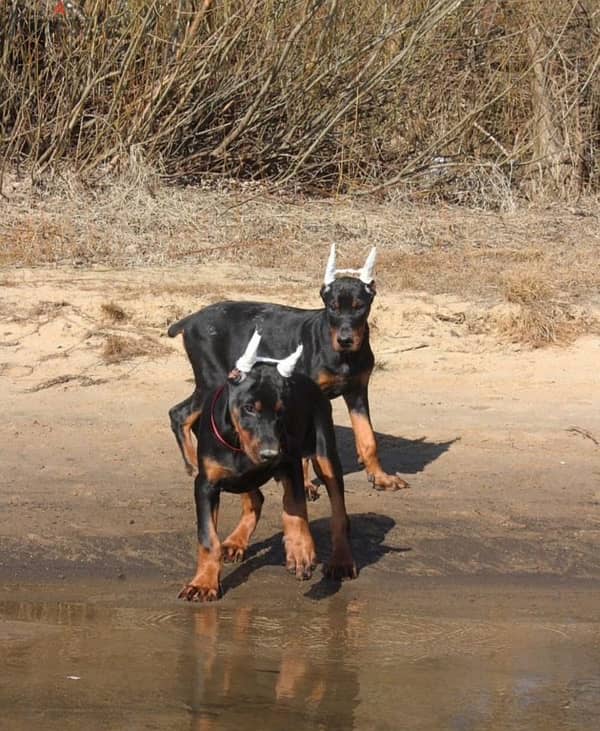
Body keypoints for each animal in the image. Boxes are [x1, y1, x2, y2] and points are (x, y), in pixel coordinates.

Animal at [168, 246, 408, 492]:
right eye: (332, 307)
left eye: (360, 307)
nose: (345, 340)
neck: (344, 356)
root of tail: (189, 320)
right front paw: (305, 485)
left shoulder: (357, 392)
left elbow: (368, 437)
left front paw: (381, 477)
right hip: (213, 378)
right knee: (180, 413)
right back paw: (195, 464)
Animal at [179, 332, 356, 600]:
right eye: (249, 408)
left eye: (282, 411)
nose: (270, 454)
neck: (238, 446)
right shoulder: (205, 484)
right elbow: (208, 537)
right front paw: (203, 583)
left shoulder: (291, 465)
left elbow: (295, 509)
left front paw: (300, 552)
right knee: (255, 498)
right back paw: (235, 542)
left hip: (325, 454)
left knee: (339, 514)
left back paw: (341, 562)